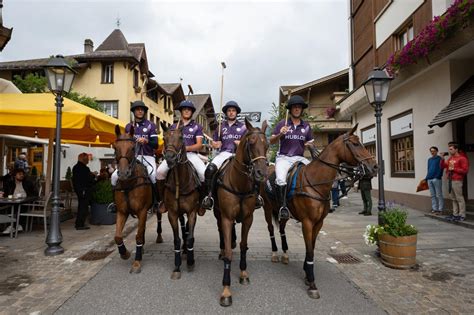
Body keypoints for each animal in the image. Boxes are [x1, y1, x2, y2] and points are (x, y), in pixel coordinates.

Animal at [111, 125, 152, 274]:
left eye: (133, 148)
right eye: (115, 148)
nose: (123, 173)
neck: (129, 184)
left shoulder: (142, 211)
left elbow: (138, 236)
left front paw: (136, 262)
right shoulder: (122, 212)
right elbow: (117, 236)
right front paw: (125, 253)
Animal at [161, 122, 204, 280]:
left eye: (181, 137)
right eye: (164, 137)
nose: (170, 158)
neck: (180, 181)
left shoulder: (192, 212)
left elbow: (190, 237)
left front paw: (191, 262)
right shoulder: (172, 213)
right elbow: (177, 239)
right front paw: (177, 266)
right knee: (183, 227)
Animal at [214, 119, 268, 308]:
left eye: (267, 145)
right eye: (250, 143)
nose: (261, 173)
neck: (239, 184)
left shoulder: (247, 218)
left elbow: (244, 245)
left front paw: (243, 273)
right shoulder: (226, 217)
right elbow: (229, 253)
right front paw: (226, 291)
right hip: (217, 213)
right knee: (221, 232)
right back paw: (222, 250)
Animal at [262, 123, 376, 298]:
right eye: (356, 144)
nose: (374, 167)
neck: (316, 183)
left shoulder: (318, 223)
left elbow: (312, 248)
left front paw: (307, 274)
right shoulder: (307, 223)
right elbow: (309, 250)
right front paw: (312, 282)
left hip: (284, 214)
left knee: (281, 229)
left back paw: (285, 254)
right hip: (267, 209)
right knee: (270, 229)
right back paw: (275, 253)